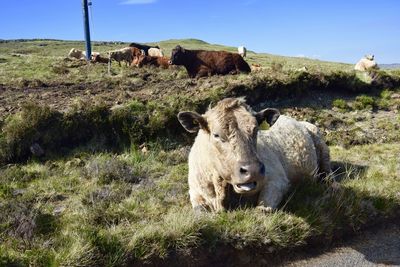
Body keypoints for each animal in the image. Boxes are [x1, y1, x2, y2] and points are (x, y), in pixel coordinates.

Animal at [179, 98, 332, 214]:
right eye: (216, 135)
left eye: (256, 129)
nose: (253, 171)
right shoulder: (195, 192)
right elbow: (200, 212)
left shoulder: (277, 179)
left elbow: (263, 209)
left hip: (321, 144)